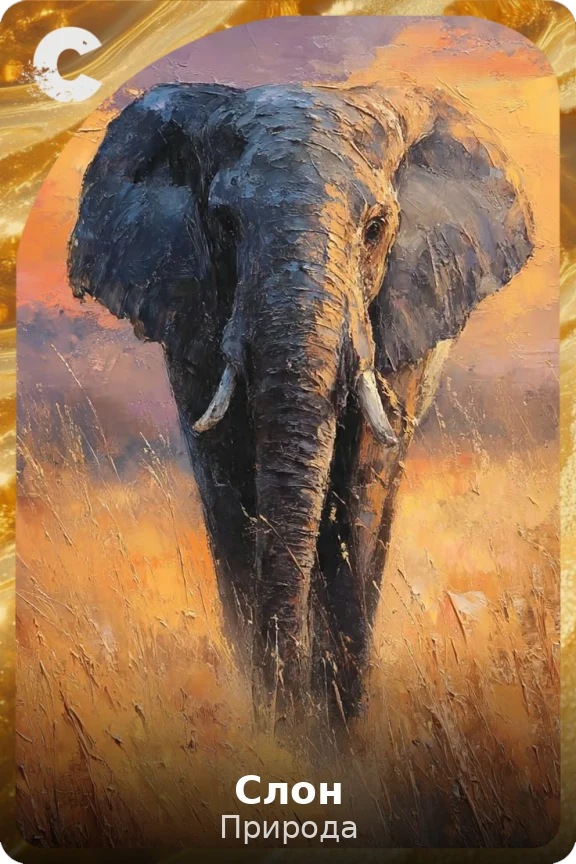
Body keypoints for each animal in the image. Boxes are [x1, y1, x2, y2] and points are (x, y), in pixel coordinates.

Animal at [68, 80, 533, 731]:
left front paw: (332, 736)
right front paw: (280, 727)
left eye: (376, 227)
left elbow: (361, 497)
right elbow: (229, 497)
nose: (285, 710)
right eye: (224, 224)